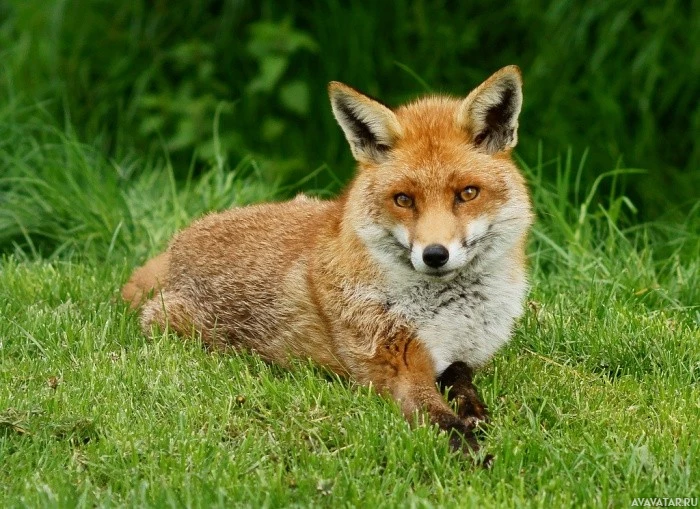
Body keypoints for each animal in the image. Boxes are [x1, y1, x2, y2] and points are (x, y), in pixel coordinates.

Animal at [123, 65, 532, 458]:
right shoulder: (393, 366)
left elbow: (461, 379)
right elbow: (439, 419)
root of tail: (178, 241)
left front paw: (476, 413)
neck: (452, 315)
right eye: (403, 199)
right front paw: (475, 454)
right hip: (174, 326)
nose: (434, 255)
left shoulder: (462, 355)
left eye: (467, 193)